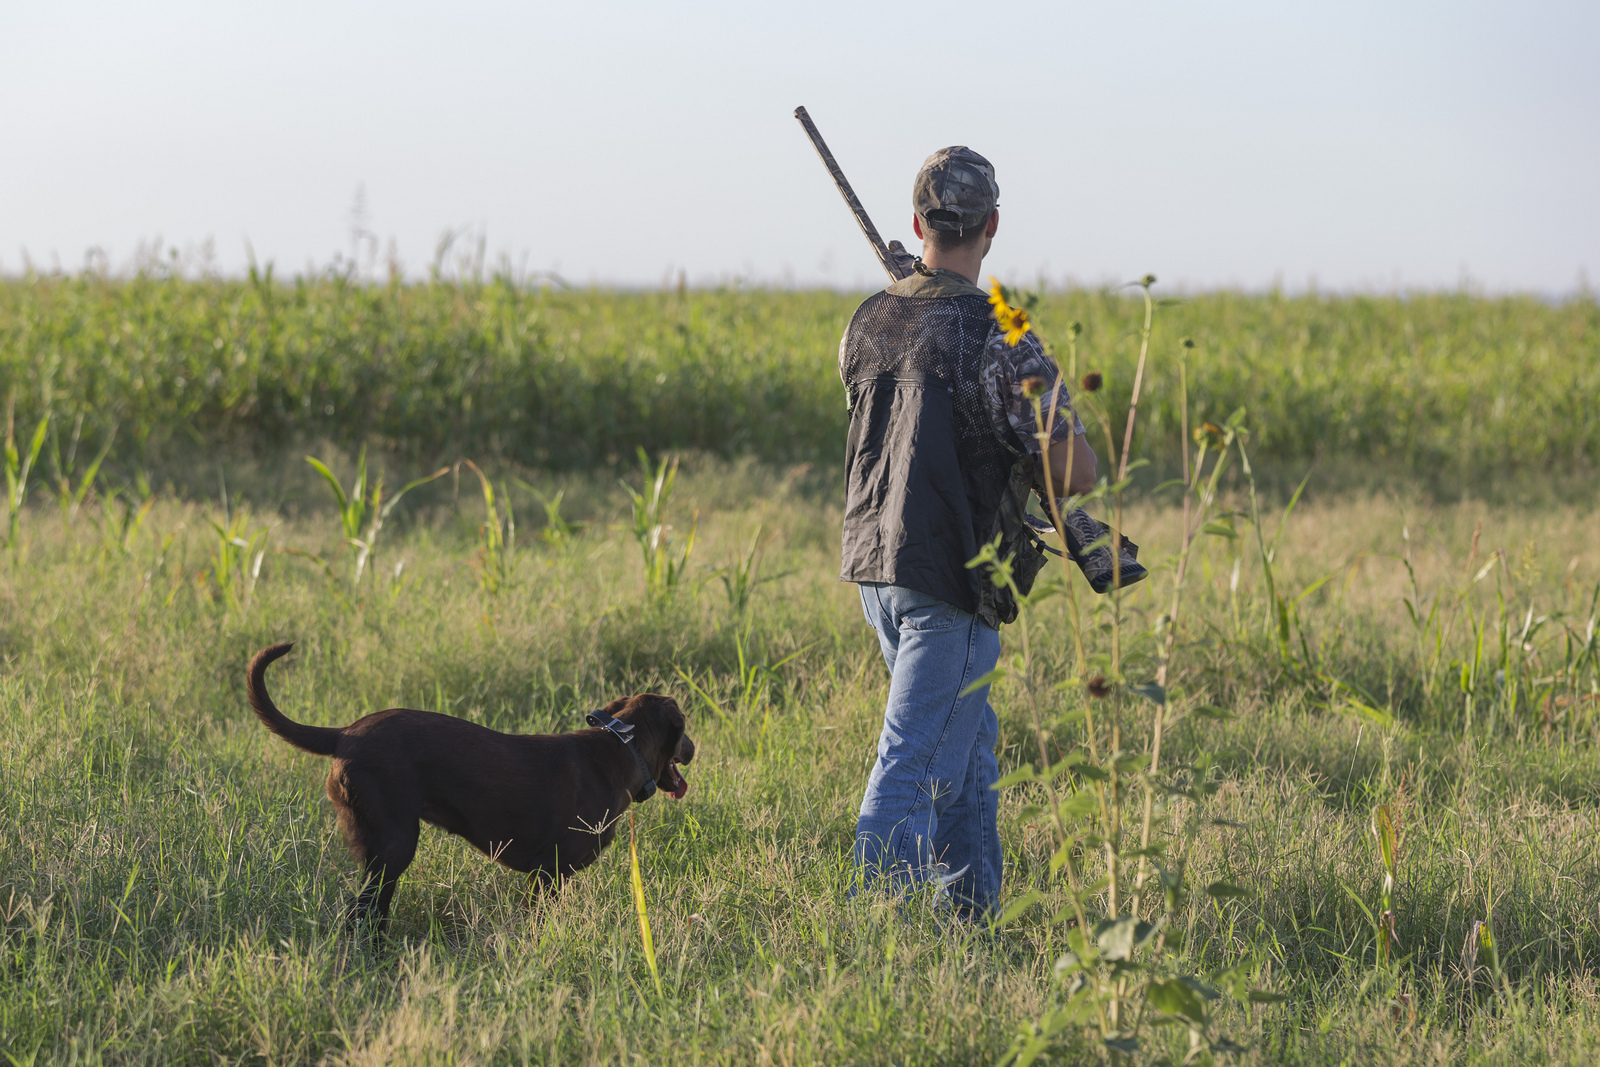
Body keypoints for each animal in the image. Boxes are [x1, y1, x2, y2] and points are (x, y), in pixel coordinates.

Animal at [244, 643, 694, 927]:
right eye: (685, 728)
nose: (694, 747)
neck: (621, 746)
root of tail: (343, 734)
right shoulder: (550, 873)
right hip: (393, 847)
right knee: (362, 916)